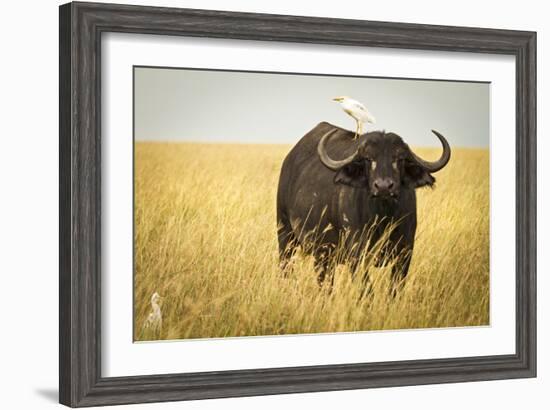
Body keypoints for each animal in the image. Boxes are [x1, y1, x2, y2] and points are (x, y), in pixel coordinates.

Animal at [276, 121, 452, 288]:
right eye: (369, 159)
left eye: (399, 159)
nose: (383, 187)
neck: (383, 216)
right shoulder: (357, 254)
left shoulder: (405, 253)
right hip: (286, 235)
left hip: (324, 255)